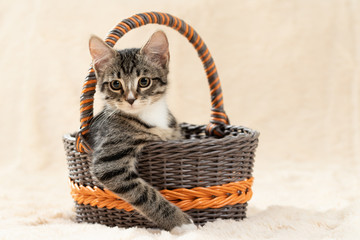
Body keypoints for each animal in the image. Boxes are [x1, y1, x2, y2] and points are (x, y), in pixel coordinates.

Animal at [86, 30, 193, 231]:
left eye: (144, 81)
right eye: (115, 84)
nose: (130, 99)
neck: (149, 115)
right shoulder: (109, 161)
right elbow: (145, 194)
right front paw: (180, 222)